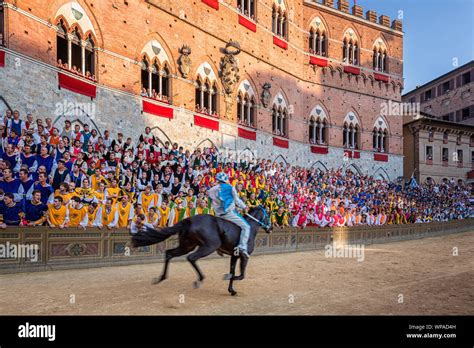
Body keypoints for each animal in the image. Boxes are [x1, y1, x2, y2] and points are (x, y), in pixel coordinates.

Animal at [130, 207, 272, 296]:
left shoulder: (234, 256)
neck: (250, 228)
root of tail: (189, 219)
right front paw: (228, 279)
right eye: (268, 216)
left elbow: (233, 272)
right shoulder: (244, 256)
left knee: (169, 253)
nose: (270, 228)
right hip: (209, 246)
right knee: (192, 258)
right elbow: (240, 275)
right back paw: (199, 279)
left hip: (187, 246)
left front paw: (232, 291)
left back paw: (161, 278)